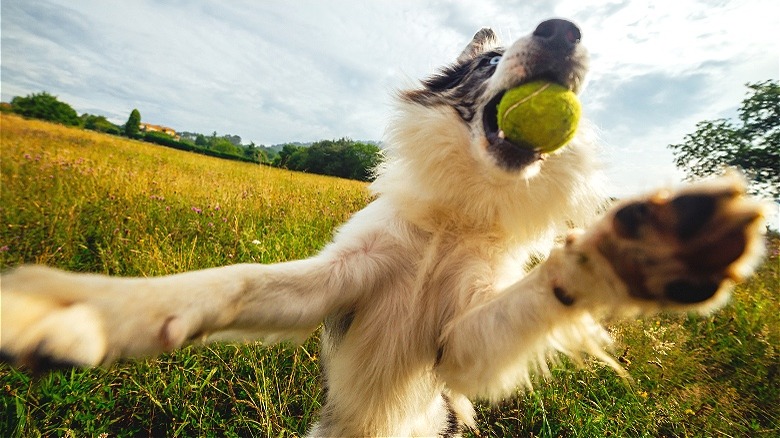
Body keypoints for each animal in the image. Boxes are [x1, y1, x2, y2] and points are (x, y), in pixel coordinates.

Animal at [0, 18, 768, 436]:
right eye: (490, 61)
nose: (564, 31)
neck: (457, 215)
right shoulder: (335, 283)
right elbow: (231, 280)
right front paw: (89, 308)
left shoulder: (462, 346)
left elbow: (538, 293)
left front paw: (639, 252)